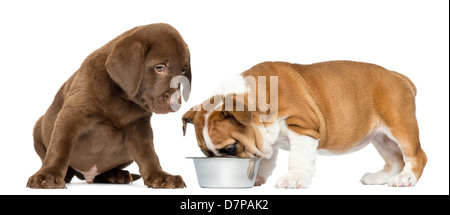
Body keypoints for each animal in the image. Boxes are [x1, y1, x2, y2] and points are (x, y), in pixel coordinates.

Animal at [182, 61, 426, 188]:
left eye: (231, 148)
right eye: (204, 153)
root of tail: (400, 76)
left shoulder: (302, 127)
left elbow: (298, 158)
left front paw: (293, 179)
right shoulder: (266, 139)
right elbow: (267, 157)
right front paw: (260, 176)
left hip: (400, 126)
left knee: (416, 156)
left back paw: (405, 178)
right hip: (381, 138)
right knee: (395, 159)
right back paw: (380, 178)